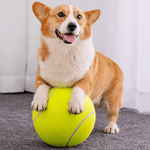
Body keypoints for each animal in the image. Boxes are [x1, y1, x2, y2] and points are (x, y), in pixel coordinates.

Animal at [31, 1, 123, 134]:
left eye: (79, 17)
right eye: (60, 14)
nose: (72, 26)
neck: (64, 51)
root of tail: (115, 64)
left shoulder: (86, 81)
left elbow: (78, 88)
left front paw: (75, 105)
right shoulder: (40, 78)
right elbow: (41, 87)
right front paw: (38, 102)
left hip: (112, 98)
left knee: (113, 113)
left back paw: (111, 127)